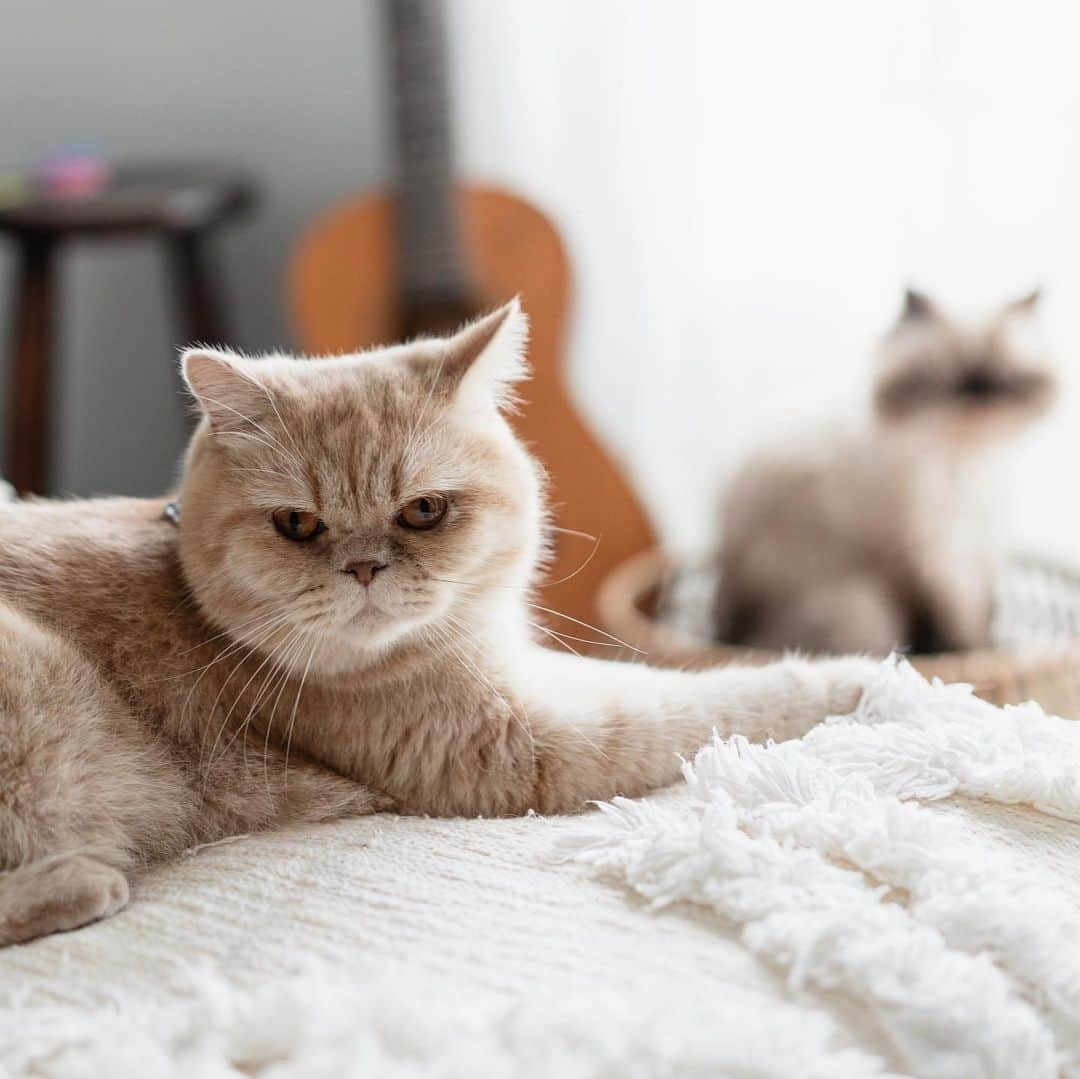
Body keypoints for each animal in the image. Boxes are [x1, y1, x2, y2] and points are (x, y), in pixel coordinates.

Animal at [0, 304, 872, 946]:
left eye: (423, 510)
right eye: (296, 524)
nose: (362, 566)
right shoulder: (522, 745)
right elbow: (711, 701)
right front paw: (859, 677)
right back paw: (82, 880)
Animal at [708, 289, 1054, 656]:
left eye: (1007, 382)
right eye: (948, 382)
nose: (978, 392)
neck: (973, 463)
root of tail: (724, 628)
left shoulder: (983, 546)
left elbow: (986, 611)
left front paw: (989, 645)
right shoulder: (943, 555)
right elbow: (963, 624)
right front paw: (971, 651)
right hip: (866, 613)